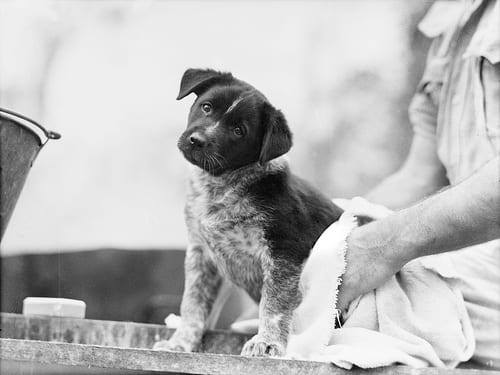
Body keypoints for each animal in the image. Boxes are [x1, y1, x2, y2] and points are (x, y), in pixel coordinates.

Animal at [155, 69, 344, 356]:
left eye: (238, 131)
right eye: (206, 107)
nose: (196, 141)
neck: (221, 188)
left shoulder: (284, 251)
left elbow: (275, 304)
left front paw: (267, 343)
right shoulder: (202, 253)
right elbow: (193, 302)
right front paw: (181, 343)